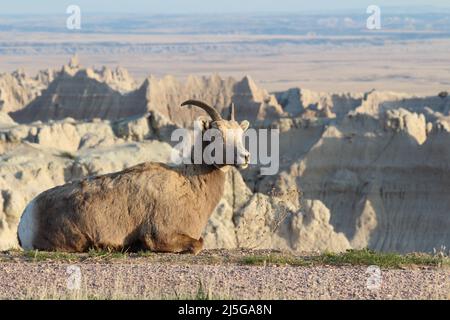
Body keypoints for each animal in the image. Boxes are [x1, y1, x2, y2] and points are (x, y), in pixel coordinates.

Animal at [16, 99, 250, 252]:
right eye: (217, 135)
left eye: (240, 134)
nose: (245, 157)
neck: (189, 187)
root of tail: (27, 217)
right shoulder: (163, 234)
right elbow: (198, 244)